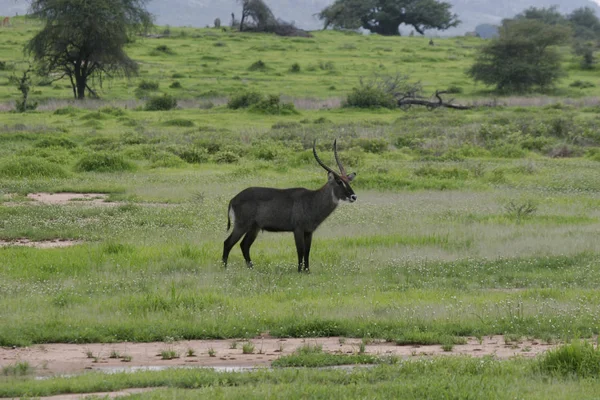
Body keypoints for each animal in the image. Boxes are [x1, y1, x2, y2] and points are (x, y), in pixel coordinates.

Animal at [224, 139, 356, 274]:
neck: (313, 200)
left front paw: (307, 271)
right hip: (241, 225)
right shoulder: (297, 229)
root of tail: (233, 198)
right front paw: (299, 271)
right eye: (339, 182)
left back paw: (251, 268)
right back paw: (224, 267)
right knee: (228, 243)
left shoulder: (309, 232)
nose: (353, 197)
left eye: (348, 181)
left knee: (244, 245)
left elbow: (307, 251)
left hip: (254, 228)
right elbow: (300, 250)